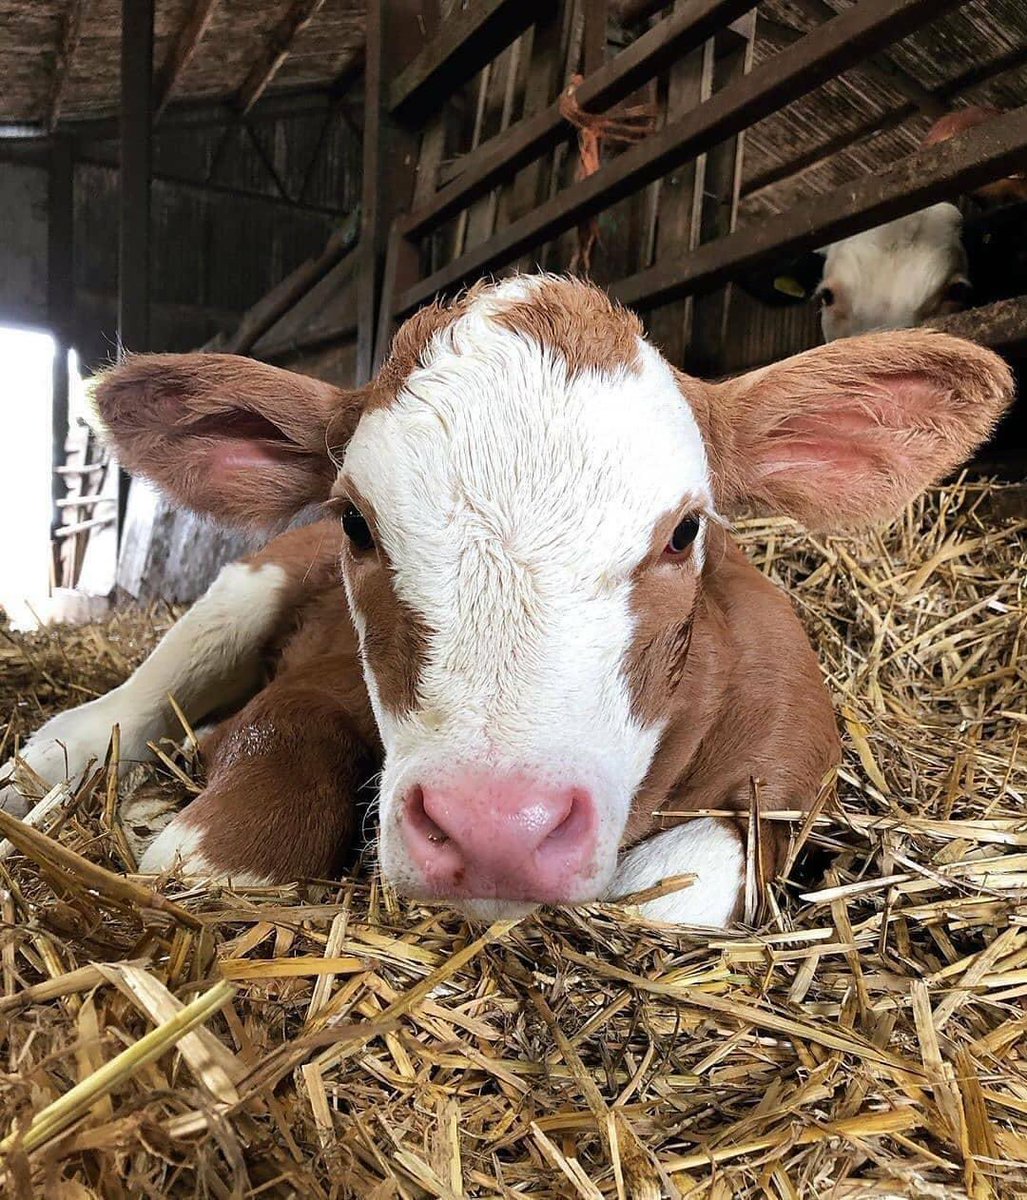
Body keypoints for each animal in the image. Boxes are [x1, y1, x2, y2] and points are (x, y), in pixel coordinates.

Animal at [0, 276, 1013, 927]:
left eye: (686, 531)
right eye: (355, 523)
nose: (496, 833)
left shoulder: (789, 751)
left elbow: (677, 894)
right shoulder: (320, 674)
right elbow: (242, 786)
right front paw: (210, 839)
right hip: (250, 583)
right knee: (134, 698)